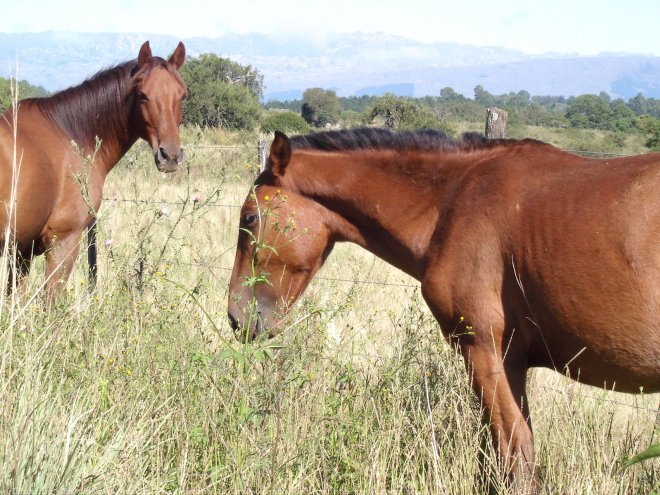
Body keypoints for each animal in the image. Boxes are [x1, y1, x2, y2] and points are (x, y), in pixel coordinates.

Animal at [0, 41, 187, 298]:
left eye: (183, 95)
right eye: (143, 95)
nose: (170, 155)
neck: (70, 134)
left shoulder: (21, 250)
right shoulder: (62, 244)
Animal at [228, 128, 660, 492]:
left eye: (249, 218)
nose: (237, 318)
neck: (453, 200)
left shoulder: (483, 352)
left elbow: (514, 459)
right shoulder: (511, 363)